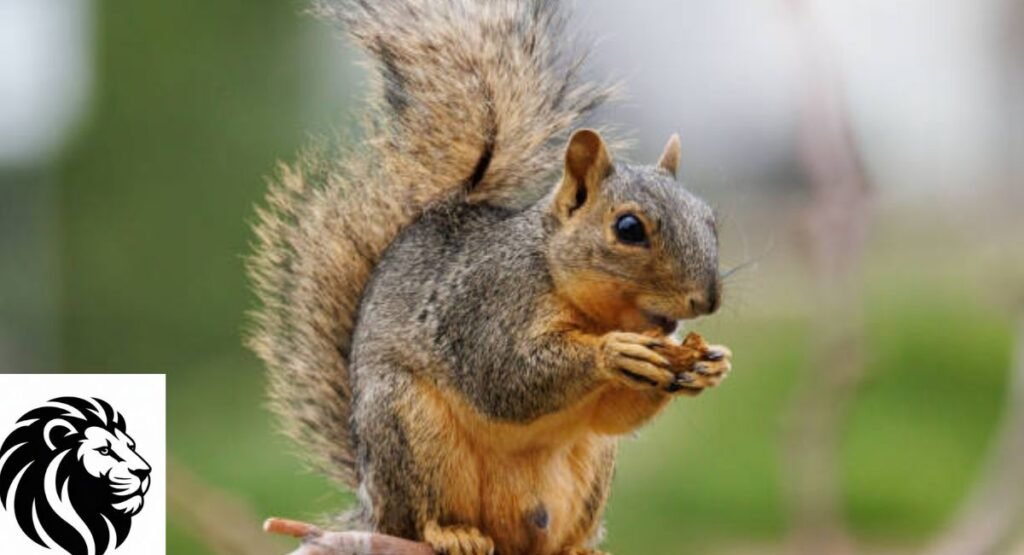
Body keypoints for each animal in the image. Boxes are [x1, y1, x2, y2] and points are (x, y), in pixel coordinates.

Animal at [248, 1, 732, 554]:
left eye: (710, 219)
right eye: (628, 228)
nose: (707, 300)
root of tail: (374, 509)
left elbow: (614, 414)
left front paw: (709, 364)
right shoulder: (485, 306)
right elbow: (505, 375)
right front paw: (614, 352)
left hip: (592, 465)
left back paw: (577, 546)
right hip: (411, 428)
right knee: (423, 512)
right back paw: (453, 533)